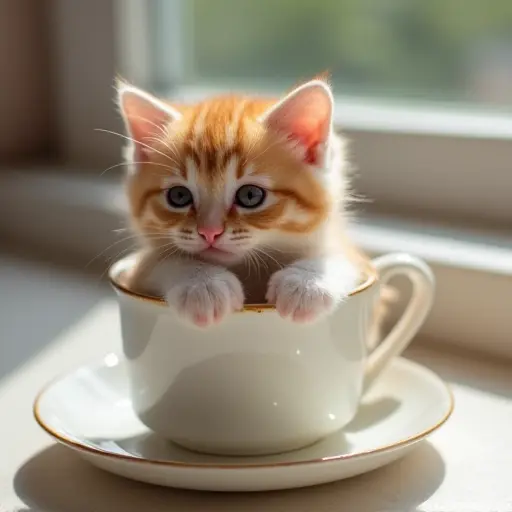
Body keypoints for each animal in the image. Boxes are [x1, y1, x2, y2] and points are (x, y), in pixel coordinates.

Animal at [116, 76, 384, 332]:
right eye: (179, 196)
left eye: (250, 196)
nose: (209, 232)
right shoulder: (134, 276)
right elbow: (157, 261)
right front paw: (203, 284)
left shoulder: (354, 257)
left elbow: (343, 256)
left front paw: (305, 283)